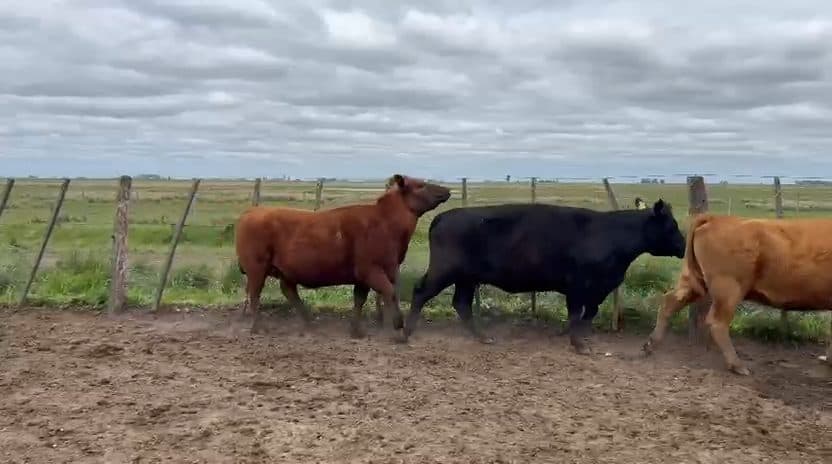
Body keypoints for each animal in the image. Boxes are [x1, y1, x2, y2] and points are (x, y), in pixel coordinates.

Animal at [234, 174, 451, 339]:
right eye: (420, 184)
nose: (447, 190)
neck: (385, 222)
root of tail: (251, 212)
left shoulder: (363, 277)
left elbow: (359, 300)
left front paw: (356, 331)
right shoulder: (371, 270)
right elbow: (389, 292)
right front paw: (398, 325)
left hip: (285, 272)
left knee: (289, 292)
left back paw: (310, 323)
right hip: (256, 268)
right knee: (255, 295)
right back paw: (259, 327)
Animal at [403, 199, 686, 354]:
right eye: (671, 226)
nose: (684, 246)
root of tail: (443, 216)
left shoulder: (596, 290)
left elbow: (587, 314)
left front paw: (572, 336)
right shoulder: (579, 286)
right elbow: (578, 313)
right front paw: (578, 344)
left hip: (467, 278)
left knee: (461, 304)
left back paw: (483, 337)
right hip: (445, 271)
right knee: (420, 292)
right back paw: (406, 333)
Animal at [642, 213, 832, 375]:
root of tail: (716, 218)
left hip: (693, 283)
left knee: (669, 302)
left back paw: (651, 343)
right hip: (729, 290)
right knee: (717, 323)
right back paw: (737, 365)